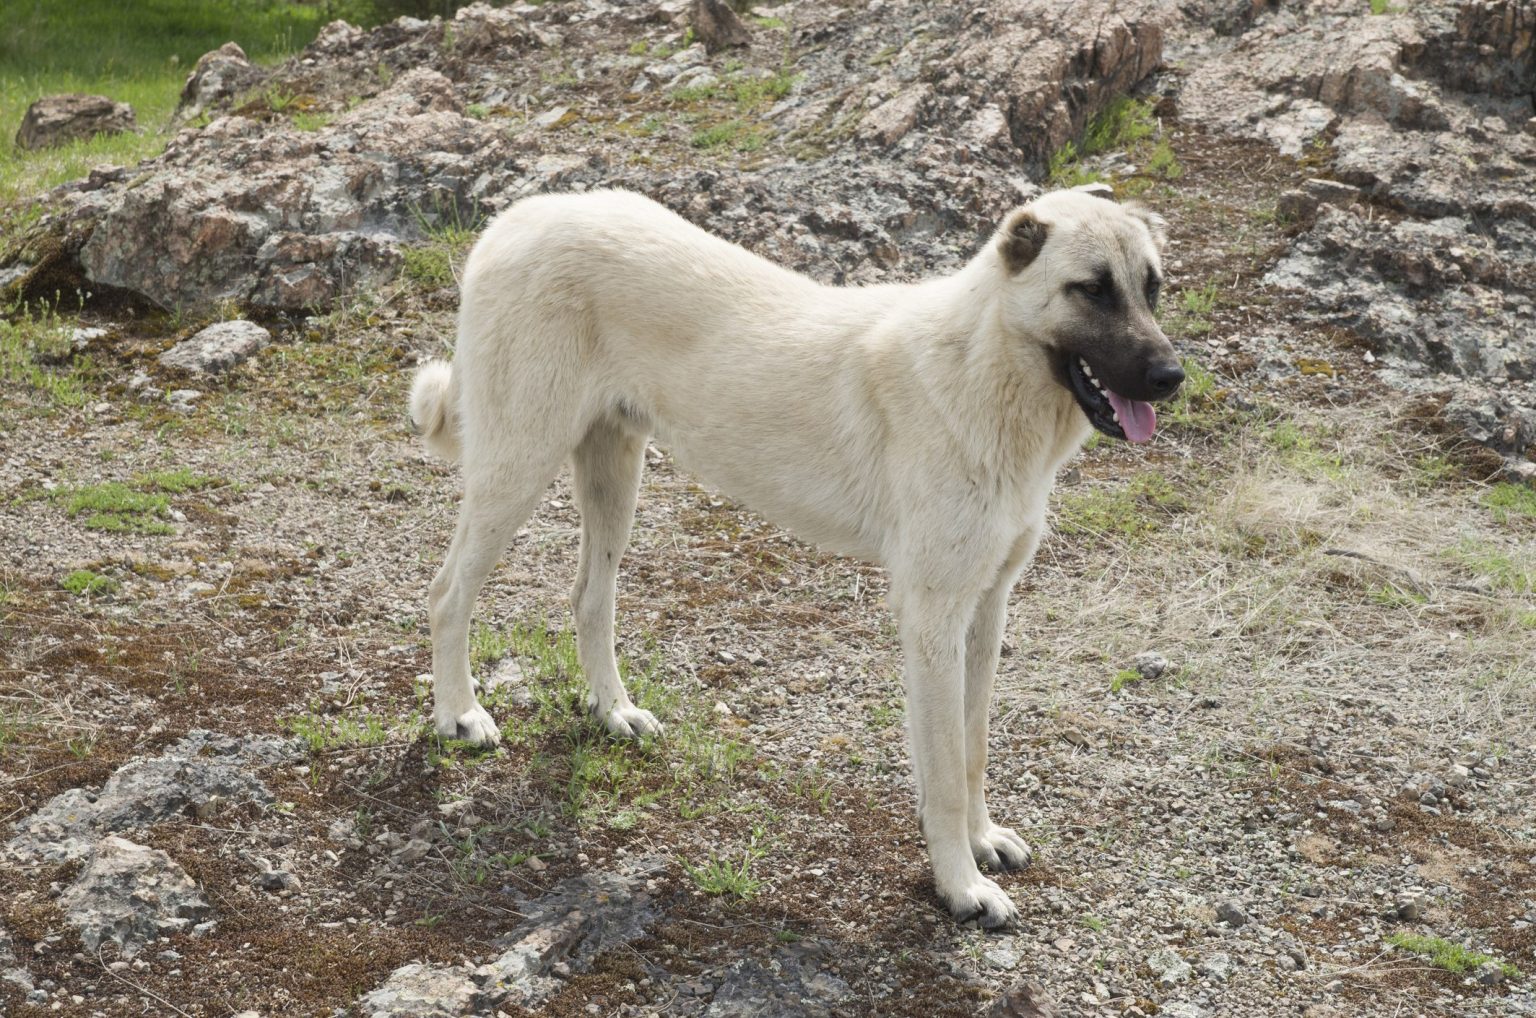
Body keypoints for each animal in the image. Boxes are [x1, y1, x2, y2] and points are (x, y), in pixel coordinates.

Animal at [408, 187, 1173, 927]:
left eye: (1152, 287)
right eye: (1091, 290)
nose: (1172, 376)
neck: (984, 367)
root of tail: (521, 215)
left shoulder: (986, 611)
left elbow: (974, 747)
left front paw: (983, 842)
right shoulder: (933, 619)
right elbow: (946, 774)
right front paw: (962, 887)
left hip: (613, 475)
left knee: (588, 599)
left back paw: (614, 711)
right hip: (517, 468)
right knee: (448, 594)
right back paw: (460, 715)